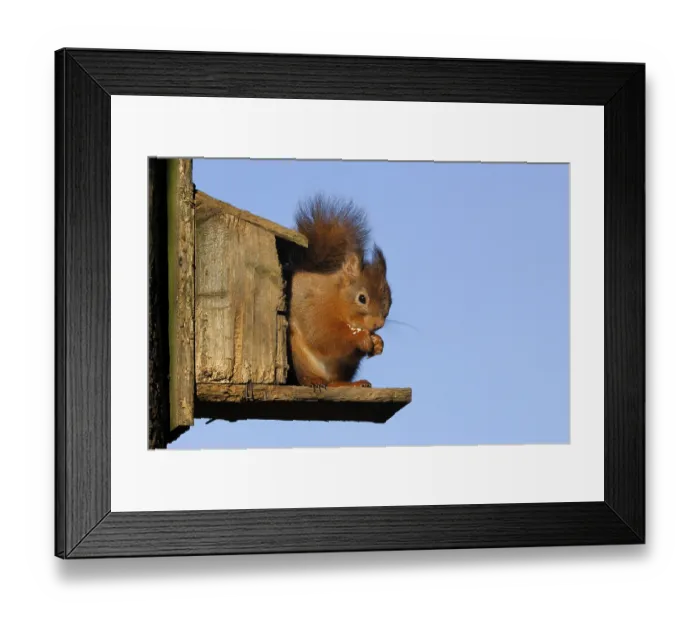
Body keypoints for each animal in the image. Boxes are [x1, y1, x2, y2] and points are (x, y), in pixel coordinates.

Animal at [288, 194, 392, 389]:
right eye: (362, 298)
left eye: (390, 301)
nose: (378, 324)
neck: (336, 299)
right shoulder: (315, 309)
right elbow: (325, 337)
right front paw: (360, 338)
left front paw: (377, 343)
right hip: (298, 356)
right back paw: (314, 380)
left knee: (335, 382)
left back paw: (353, 384)